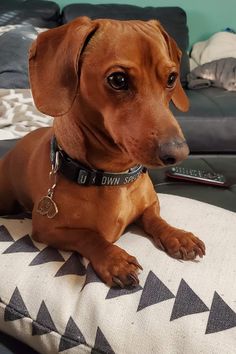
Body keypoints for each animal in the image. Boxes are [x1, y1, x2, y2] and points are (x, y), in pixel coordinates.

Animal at [0, 17, 205, 288]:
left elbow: (155, 219)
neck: (114, 177)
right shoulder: (46, 229)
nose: (178, 153)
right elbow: (89, 236)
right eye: (118, 80)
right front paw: (114, 259)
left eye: (172, 78)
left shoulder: (151, 205)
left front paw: (177, 235)